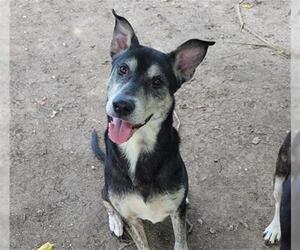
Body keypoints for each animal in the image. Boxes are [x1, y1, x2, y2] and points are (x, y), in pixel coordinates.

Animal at [91, 10, 213, 250]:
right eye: (123, 69)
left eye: (157, 81)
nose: (121, 105)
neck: (138, 150)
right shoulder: (132, 218)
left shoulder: (177, 213)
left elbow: (180, 240)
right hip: (106, 188)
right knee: (105, 200)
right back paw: (115, 221)